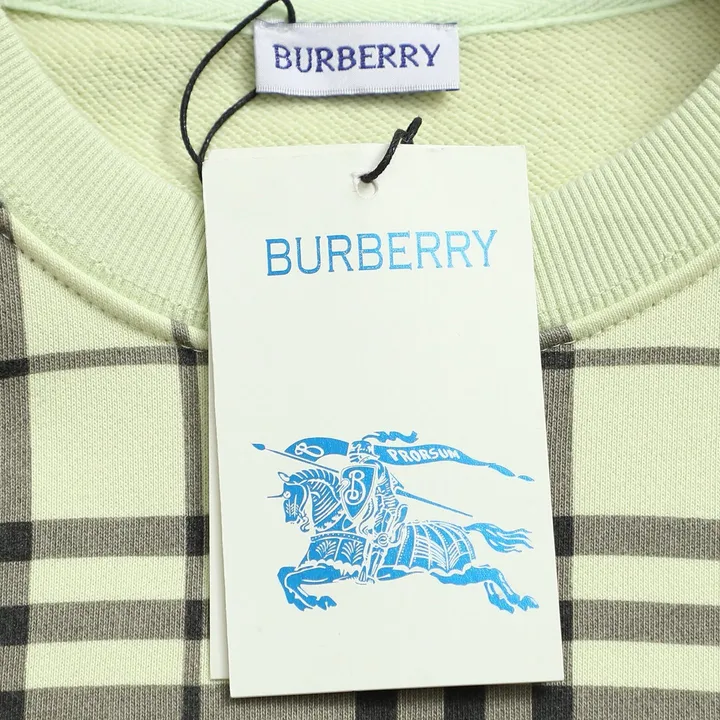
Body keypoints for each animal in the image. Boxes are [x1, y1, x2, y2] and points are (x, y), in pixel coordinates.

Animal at [276, 467, 539, 613]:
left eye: (290, 494)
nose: (291, 519)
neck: (339, 523)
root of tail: (464, 528)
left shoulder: (333, 570)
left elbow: (290, 577)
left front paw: (314, 600)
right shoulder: (318, 567)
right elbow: (284, 573)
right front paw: (301, 601)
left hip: (451, 573)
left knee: (491, 572)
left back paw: (517, 600)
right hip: (457, 573)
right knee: (486, 572)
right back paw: (503, 602)